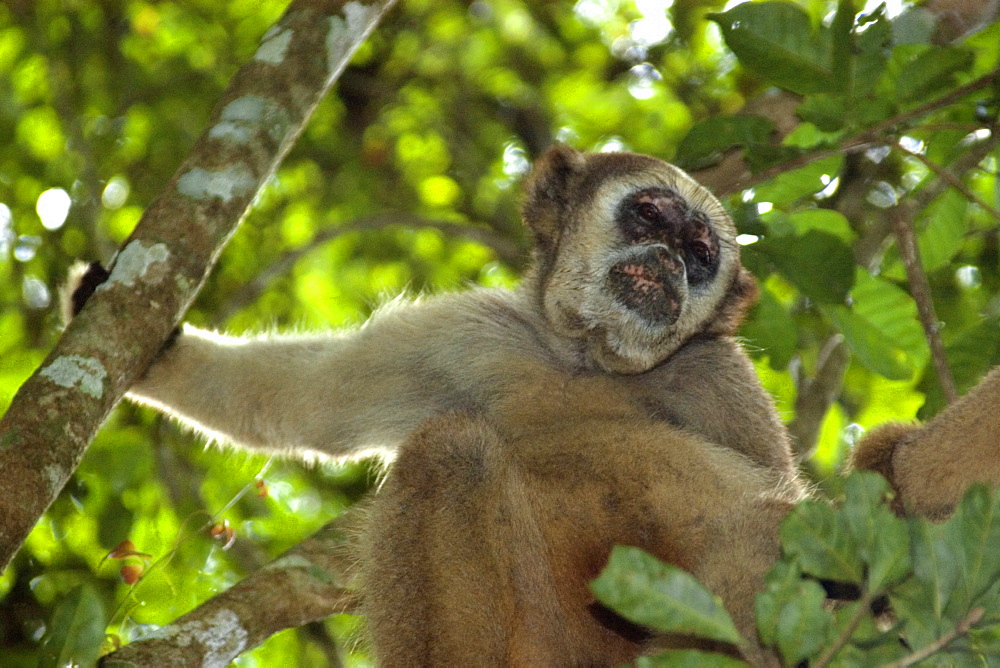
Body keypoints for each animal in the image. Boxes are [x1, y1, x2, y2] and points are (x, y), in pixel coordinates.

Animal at [66, 145, 1000, 664]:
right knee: (452, 450)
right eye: (650, 215)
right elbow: (306, 404)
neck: (588, 362)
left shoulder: (715, 377)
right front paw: (151, 346)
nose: (669, 258)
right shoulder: (469, 338)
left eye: (701, 251)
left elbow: (788, 497)